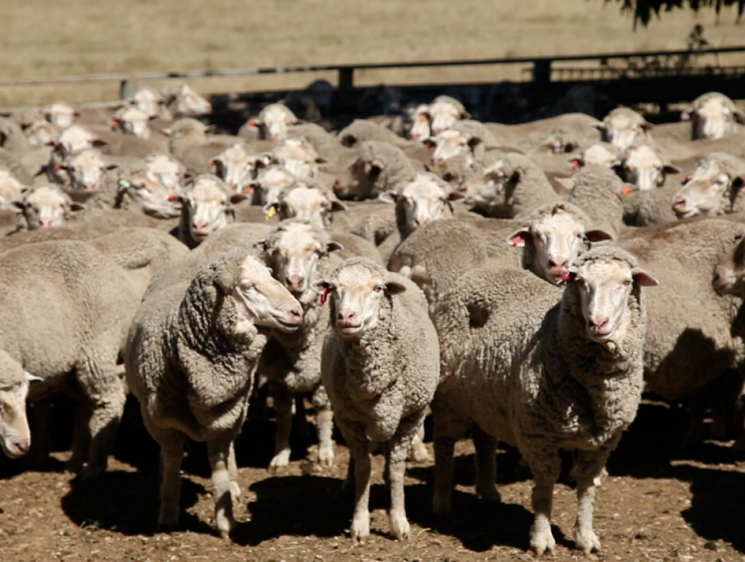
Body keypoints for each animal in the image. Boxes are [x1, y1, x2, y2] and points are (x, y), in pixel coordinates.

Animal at [4, 240, 143, 476]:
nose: (21, 445)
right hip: (70, 368)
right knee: (85, 402)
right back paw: (73, 460)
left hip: (98, 345)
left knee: (110, 398)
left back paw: (94, 465)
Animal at [125, 250, 303, 536]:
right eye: (249, 286)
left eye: (270, 275)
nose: (297, 311)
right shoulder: (161, 422)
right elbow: (173, 462)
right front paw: (168, 514)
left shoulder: (225, 419)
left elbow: (219, 470)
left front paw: (226, 520)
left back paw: (234, 485)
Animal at [256, 220, 344, 468]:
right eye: (276, 251)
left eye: (315, 251)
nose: (294, 281)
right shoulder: (277, 375)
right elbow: (284, 415)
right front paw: (280, 454)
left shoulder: (322, 375)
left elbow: (323, 412)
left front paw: (325, 451)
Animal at [315, 257, 440, 541]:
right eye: (334, 288)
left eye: (377, 289)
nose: (346, 316)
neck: (371, 380)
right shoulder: (348, 418)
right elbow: (363, 468)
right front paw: (360, 524)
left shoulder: (411, 417)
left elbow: (396, 468)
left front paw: (399, 521)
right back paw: (349, 483)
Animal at [431, 247, 658, 554]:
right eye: (581, 282)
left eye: (625, 282)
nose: (598, 323)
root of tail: (475, 274)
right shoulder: (537, 433)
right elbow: (545, 484)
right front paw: (541, 538)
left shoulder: (604, 441)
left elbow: (587, 486)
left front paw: (585, 536)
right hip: (448, 398)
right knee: (443, 445)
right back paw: (442, 503)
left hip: (487, 397)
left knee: (484, 440)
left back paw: (488, 491)